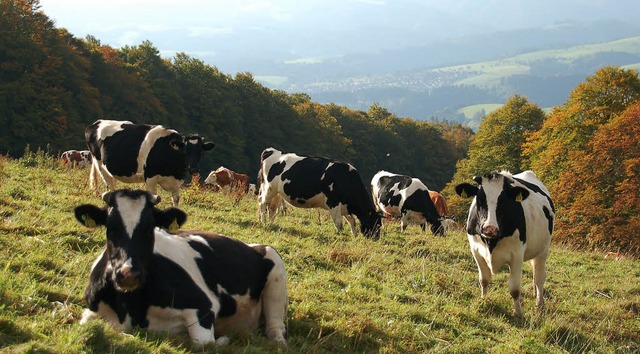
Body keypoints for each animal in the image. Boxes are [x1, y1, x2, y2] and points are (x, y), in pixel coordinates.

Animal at [73, 189, 290, 348]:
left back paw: (278, 341)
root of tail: (251, 245)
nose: (128, 274)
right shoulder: (90, 313)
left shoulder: (203, 307)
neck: (131, 307)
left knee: (275, 327)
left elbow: (204, 343)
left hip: (276, 271)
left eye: (149, 228)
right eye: (110, 227)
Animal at [85, 119, 216, 206]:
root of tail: (98, 122)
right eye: (184, 150)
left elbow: (176, 199)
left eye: (200, 151)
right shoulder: (150, 178)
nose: (194, 169)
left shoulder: (177, 181)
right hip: (100, 165)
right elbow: (155, 199)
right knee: (109, 188)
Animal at [456, 170, 556, 316]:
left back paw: (540, 304)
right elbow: (484, 280)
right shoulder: (476, 251)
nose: (489, 228)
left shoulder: (517, 255)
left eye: (504, 201)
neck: (491, 241)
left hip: (544, 249)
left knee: (539, 277)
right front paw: (483, 301)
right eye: (479, 199)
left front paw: (518, 313)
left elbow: (514, 289)